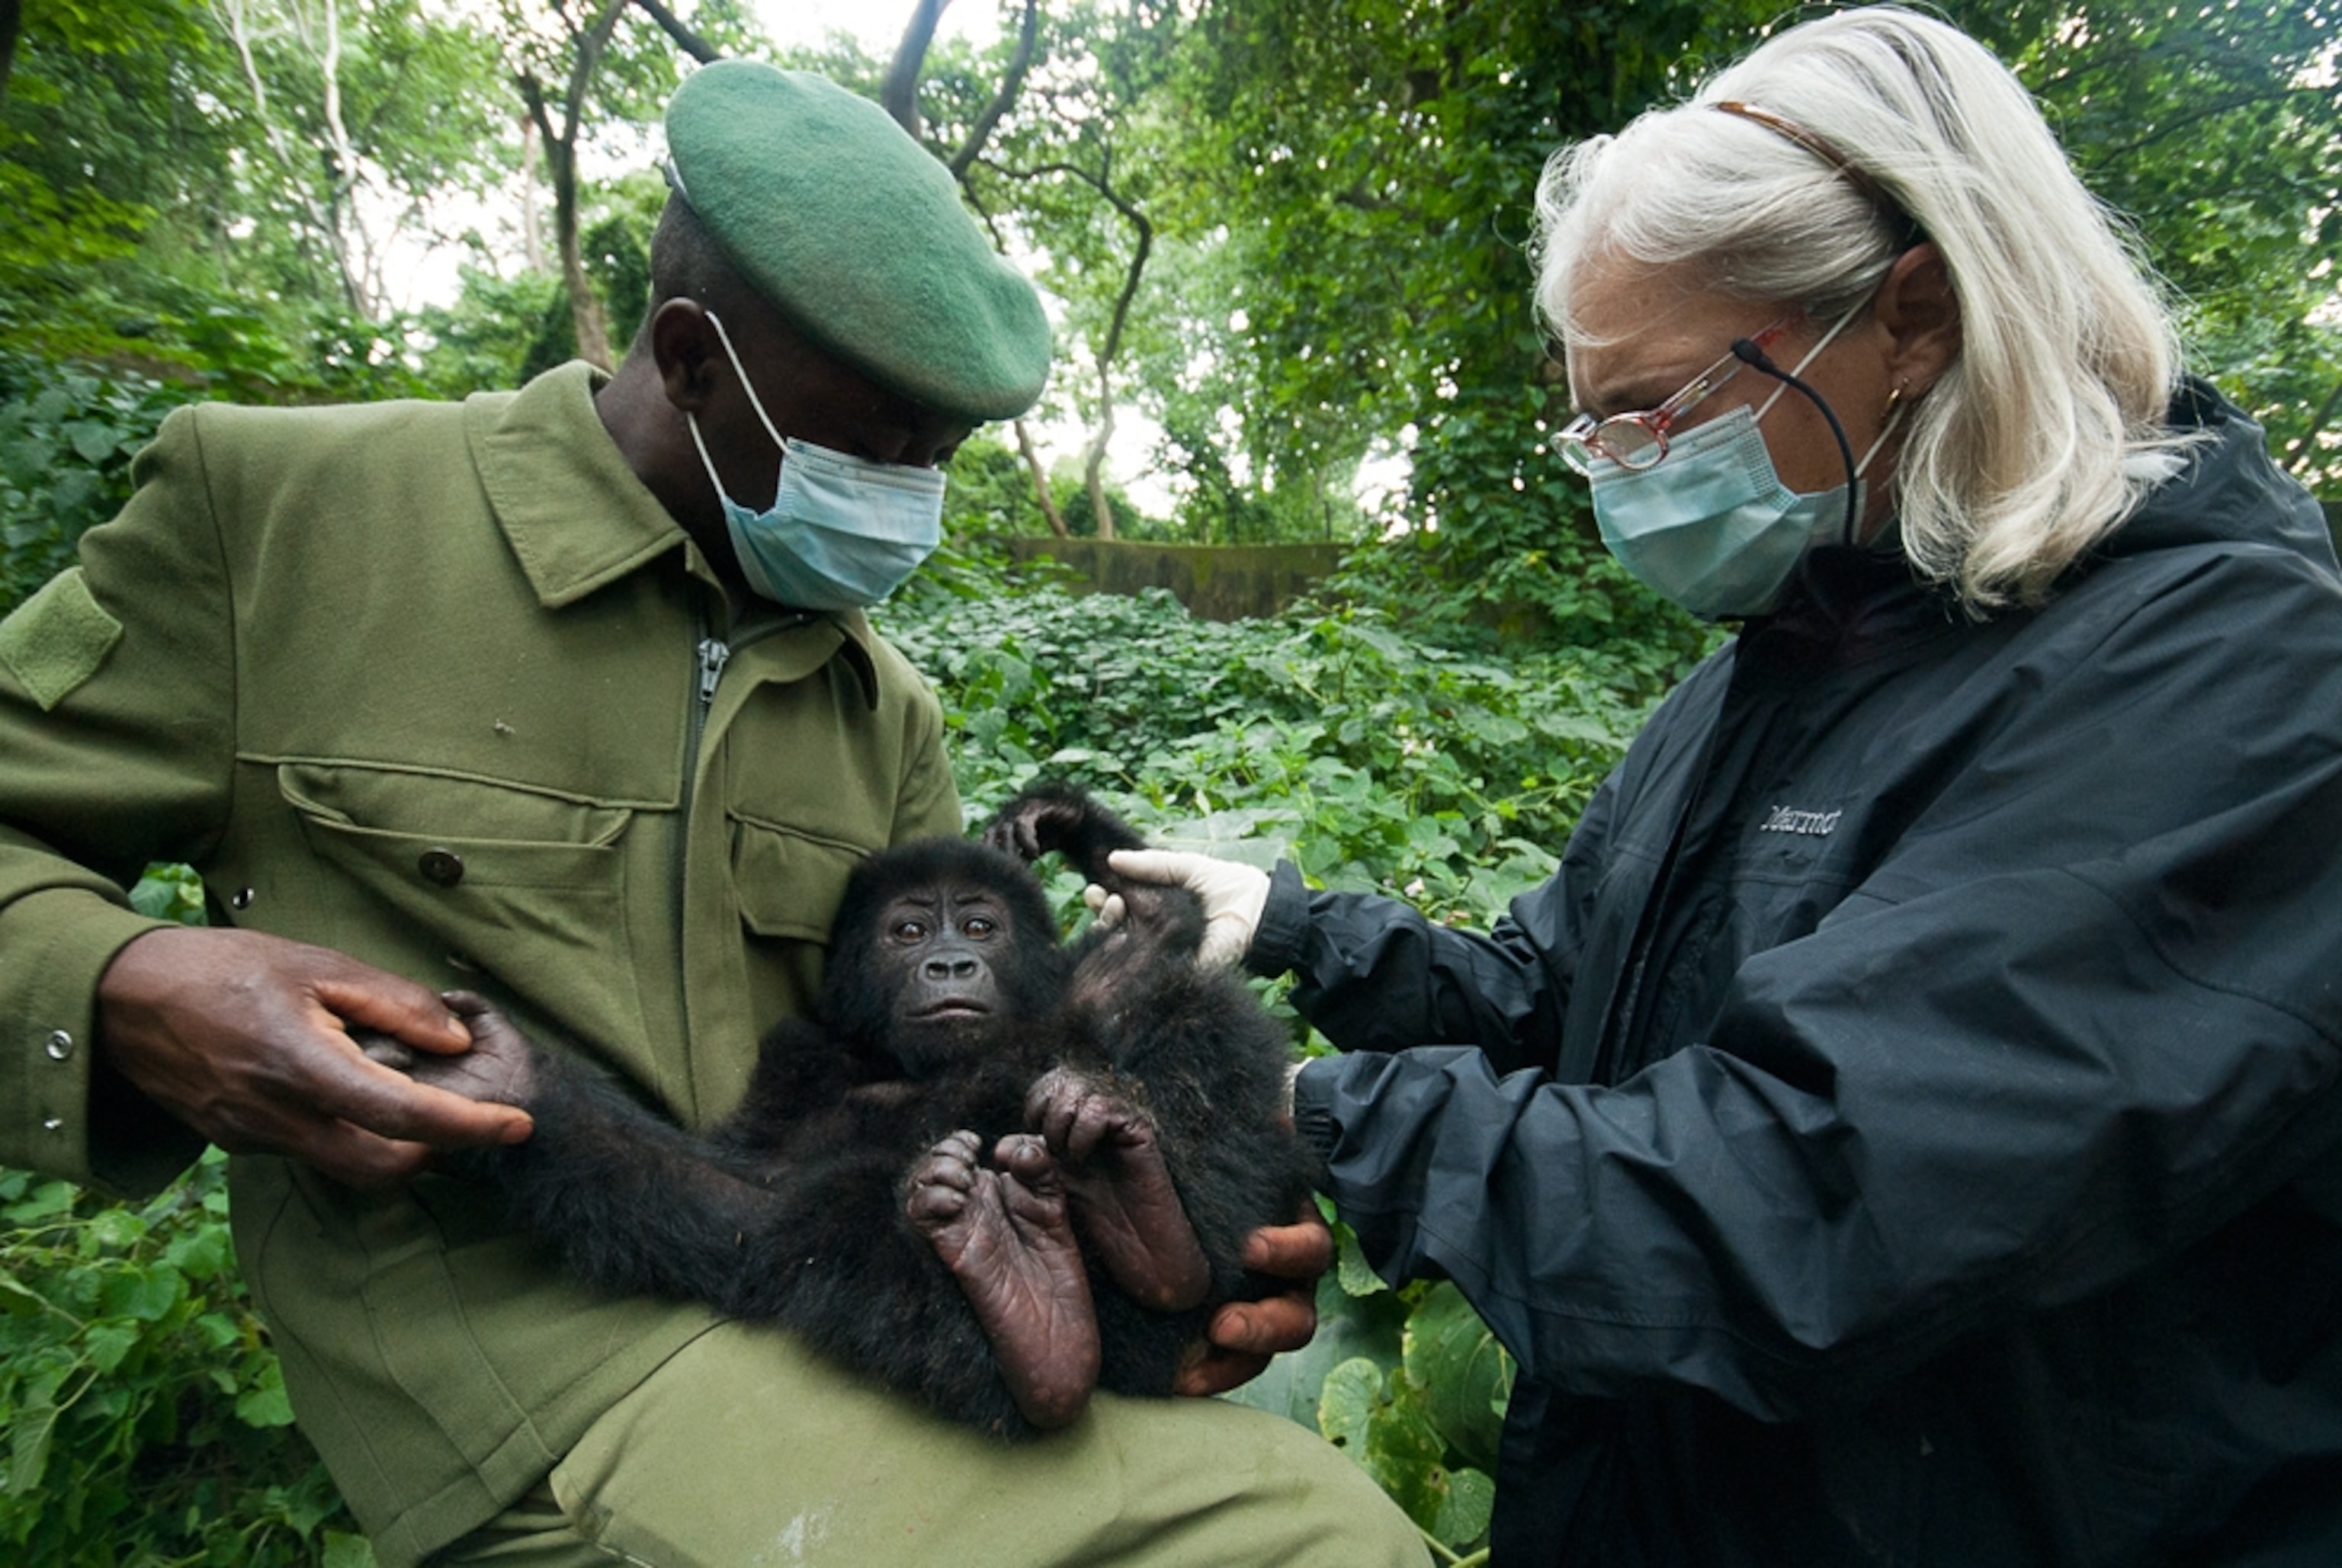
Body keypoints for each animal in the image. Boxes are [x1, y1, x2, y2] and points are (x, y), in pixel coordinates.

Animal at [381, 784, 1315, 1439]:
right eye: (909, 932)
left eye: (980, 925)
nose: (949, 963)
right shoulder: (794, 1073)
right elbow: (744, 1205)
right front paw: (505, 1077)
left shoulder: (1088, 987)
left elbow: (1157, 935)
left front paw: (1060, 817)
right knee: (839, 1225)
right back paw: (1031, 1305)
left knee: (1192, 1006)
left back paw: (1140, 1216)